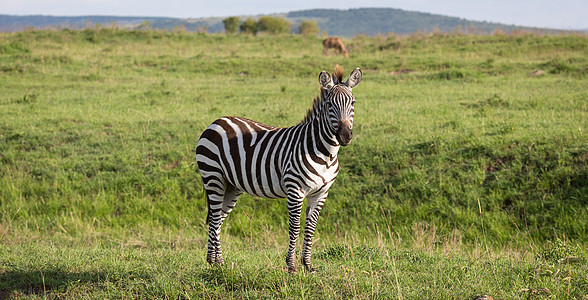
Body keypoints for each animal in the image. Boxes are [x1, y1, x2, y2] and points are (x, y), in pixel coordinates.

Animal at [198, 65, 360, 272]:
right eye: (330, 104)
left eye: (353, 102)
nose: (345, 136)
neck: (326, 154)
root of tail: (217, 121)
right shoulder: (295, 190)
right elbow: (294, 228)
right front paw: (291, 266)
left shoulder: (321, 193)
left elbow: (310, 229)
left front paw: (308, 265)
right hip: (213, 176)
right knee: (215, 217)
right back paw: (219, 262)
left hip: (231, 186)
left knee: (216, 219)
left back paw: (213, 260)